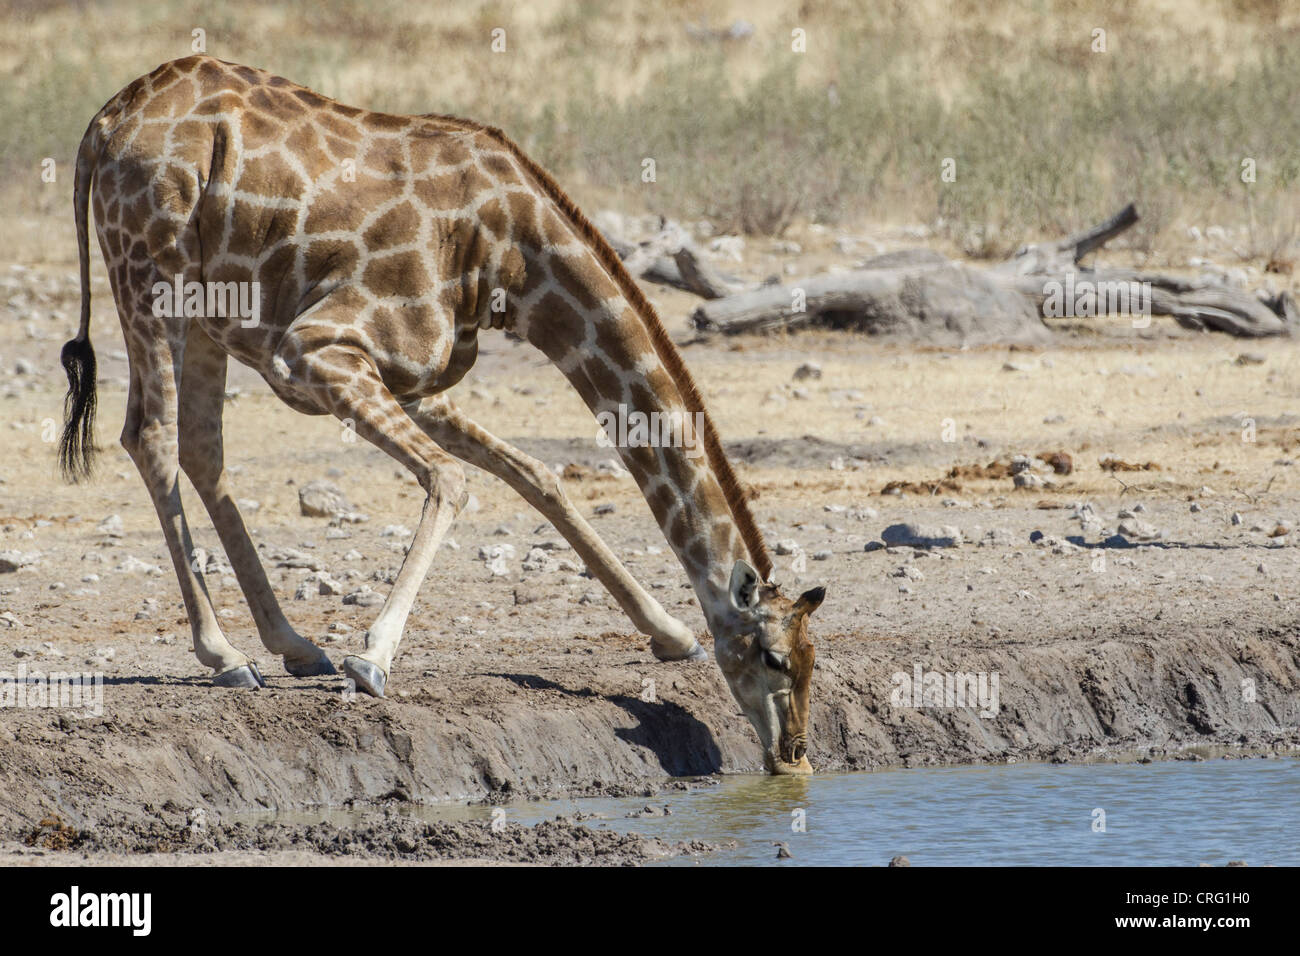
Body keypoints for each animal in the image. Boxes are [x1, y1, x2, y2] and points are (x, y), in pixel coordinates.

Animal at [61, 55, 821, 775]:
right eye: (774, 657)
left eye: (815, 657)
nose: (794, 754)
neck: (513, 257)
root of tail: (103, 122)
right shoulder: (317, 347)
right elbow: (453, 479)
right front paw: (373, 660)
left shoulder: (415, 380)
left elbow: (536, 474)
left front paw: (670, 633)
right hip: (151, 274)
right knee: (151, 437)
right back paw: (225, 657)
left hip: (204, 313)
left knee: (200, 446)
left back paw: (294, 646)